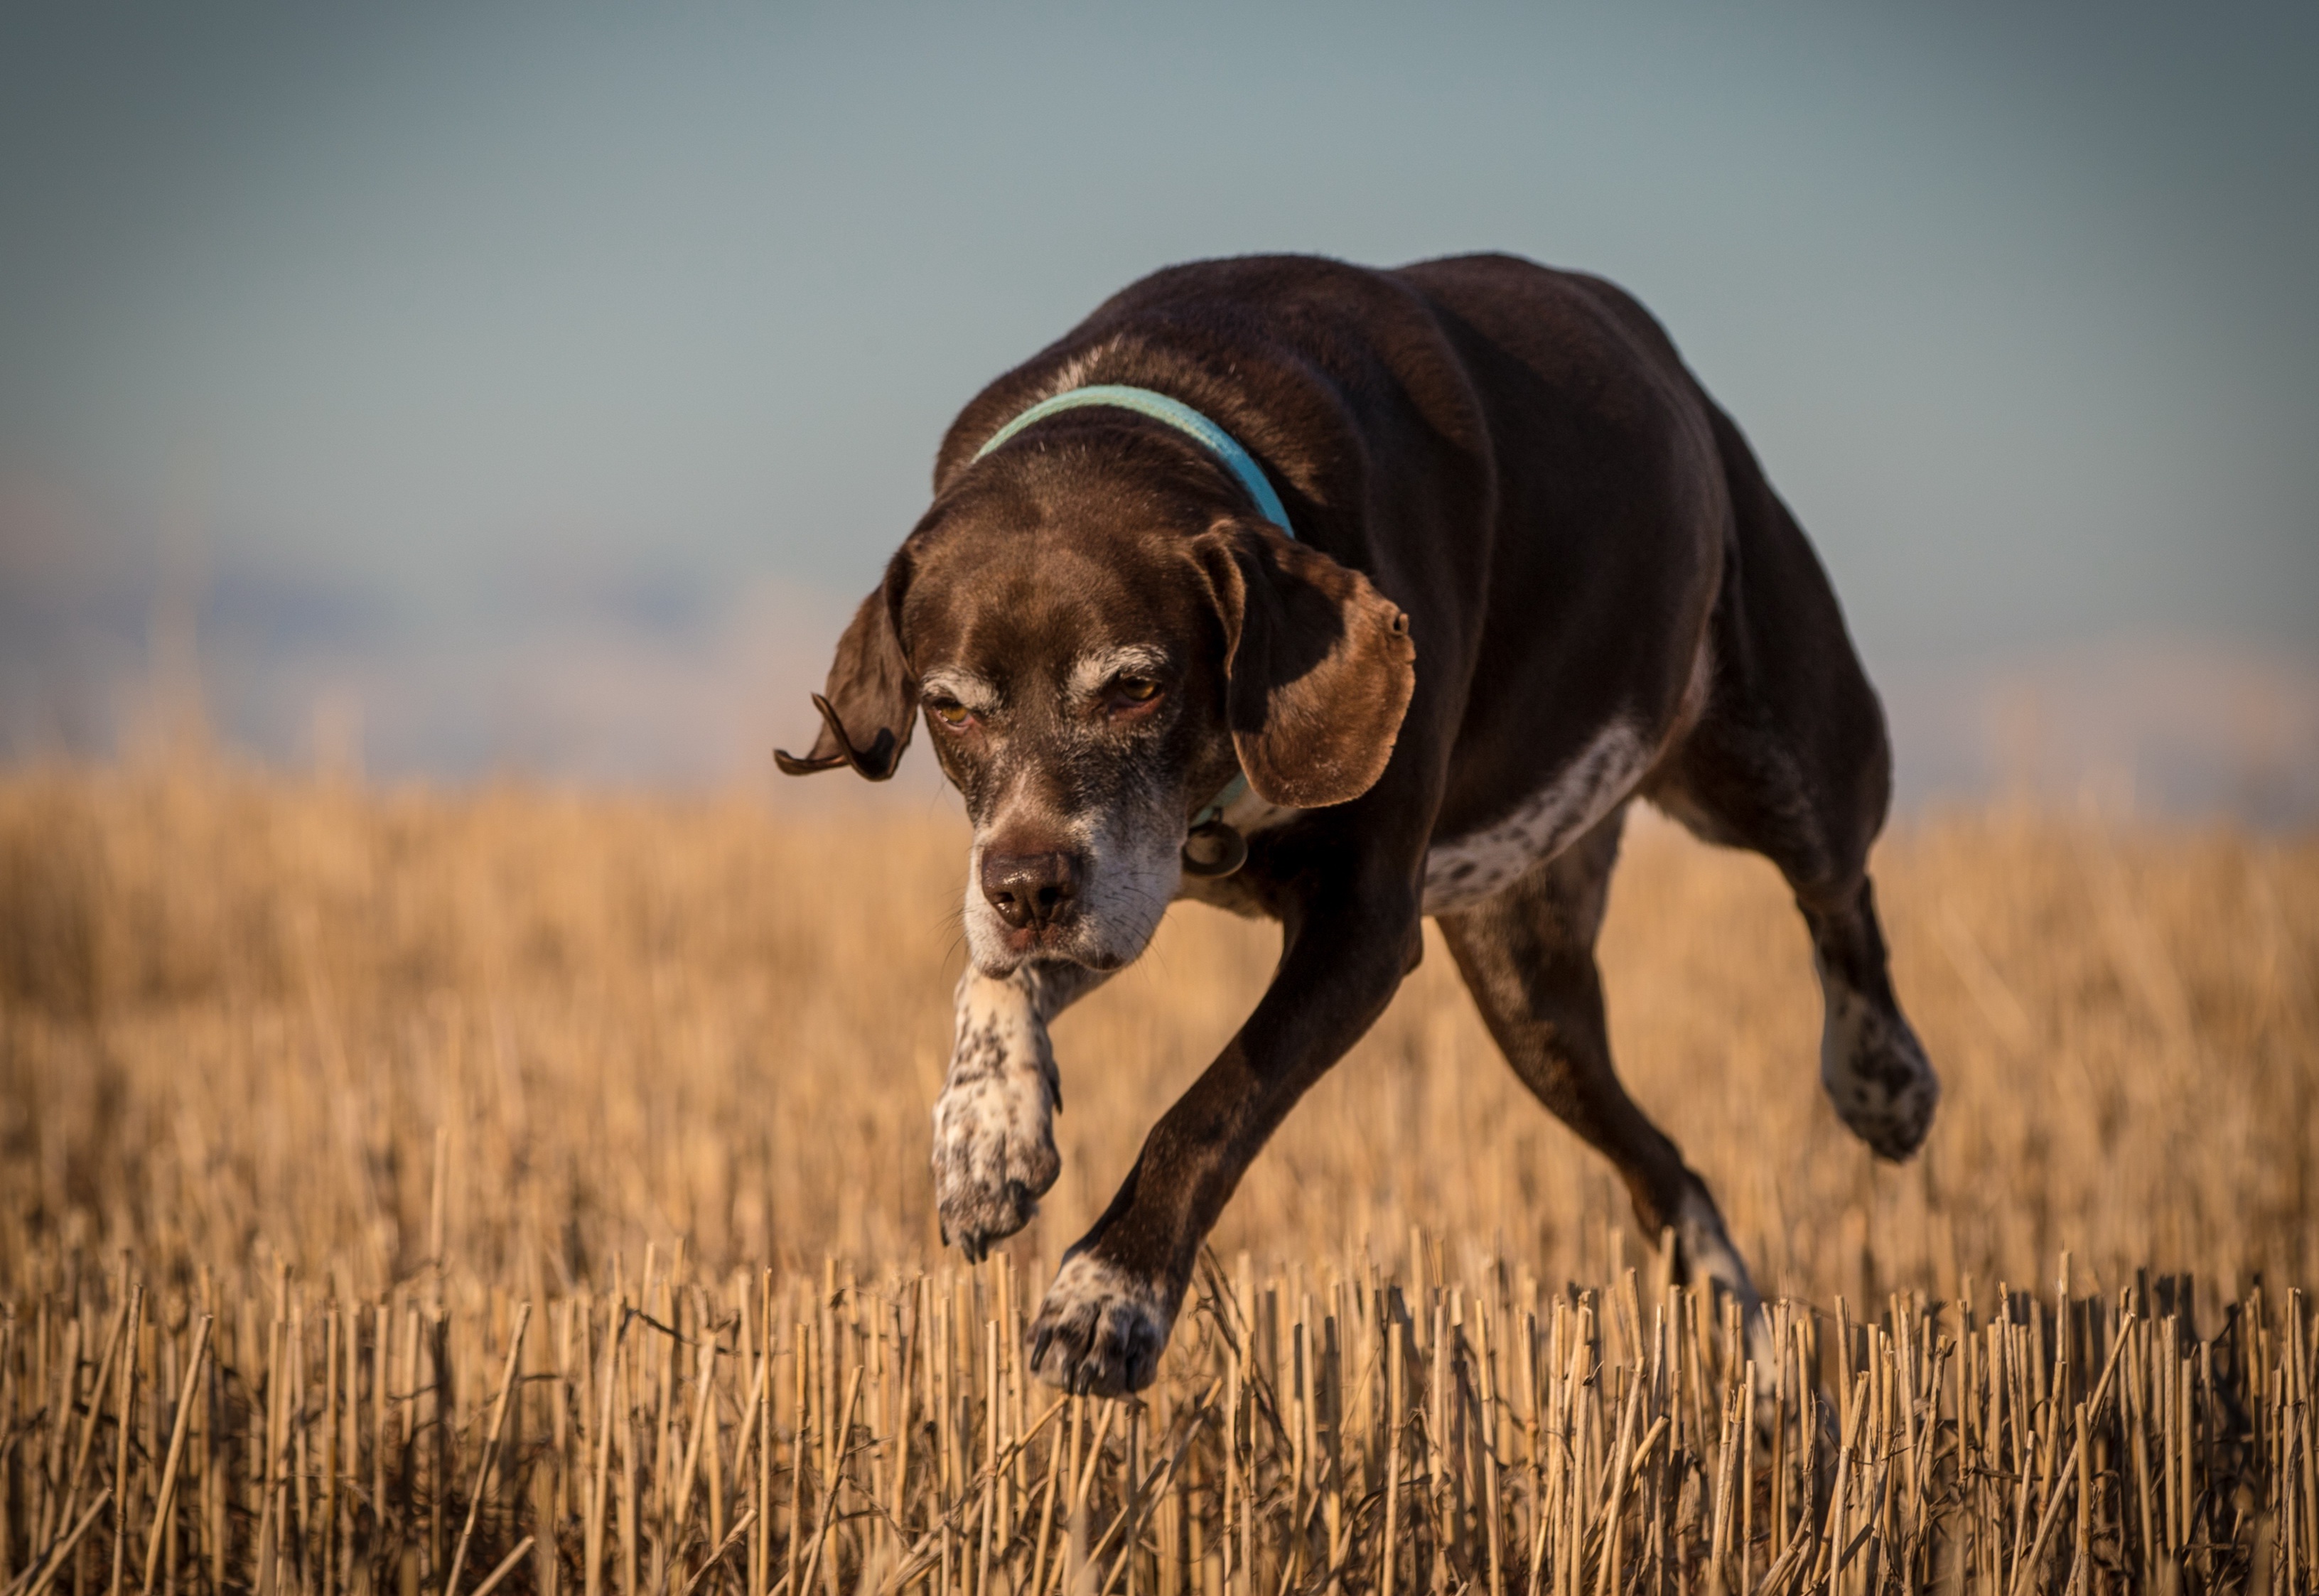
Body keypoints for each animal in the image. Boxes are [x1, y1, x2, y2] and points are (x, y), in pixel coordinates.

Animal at [779, 252, 1938, 1391]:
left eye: (1135, 688)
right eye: (949, 707)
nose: (1025, 890)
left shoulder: (1361, 930)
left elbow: (1211, 1106)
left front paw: (1106, 1295)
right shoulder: (1111, 884)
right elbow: (991, 978)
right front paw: (982, 1137)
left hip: (1779, 757)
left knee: (1838, 891)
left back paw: (1881, 1080)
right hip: (1528, 996)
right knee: (1665, 1166)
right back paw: (1754, 1359)